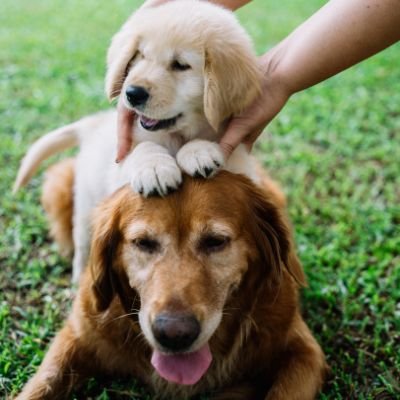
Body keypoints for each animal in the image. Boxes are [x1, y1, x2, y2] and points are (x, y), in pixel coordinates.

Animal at [12, 0, 260, 282]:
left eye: (180, 65)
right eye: (140, 55)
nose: (132, 93)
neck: (176, 136)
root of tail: (94, 124)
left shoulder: (240, 166)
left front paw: (199, 151)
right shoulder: (122, 160)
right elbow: (142, 147)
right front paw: (154, 169)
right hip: (86, 205)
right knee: (83, 246)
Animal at [16, 161, 328, 398]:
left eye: (216, 241)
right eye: (143, 242)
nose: (174, 334)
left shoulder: (303, 353)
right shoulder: (80, 334)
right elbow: (42, 383)